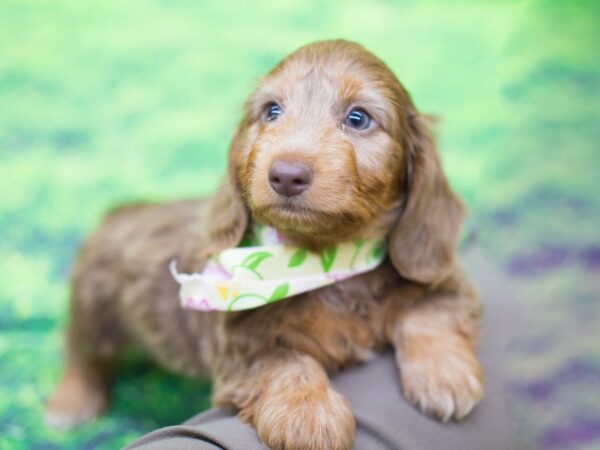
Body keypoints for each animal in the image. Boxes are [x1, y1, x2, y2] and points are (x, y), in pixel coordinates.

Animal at [45, 40, 482, 448]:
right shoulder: (240, 350)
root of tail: (120, 211)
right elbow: (285, 362)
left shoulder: (445, 282)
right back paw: (71, 401)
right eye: (272, 111)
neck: (326, 261)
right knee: (79, 351)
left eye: (358, 118)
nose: (286, 174)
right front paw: (308, 416)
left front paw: (444, 375)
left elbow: (430, 311)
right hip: (94, 309)